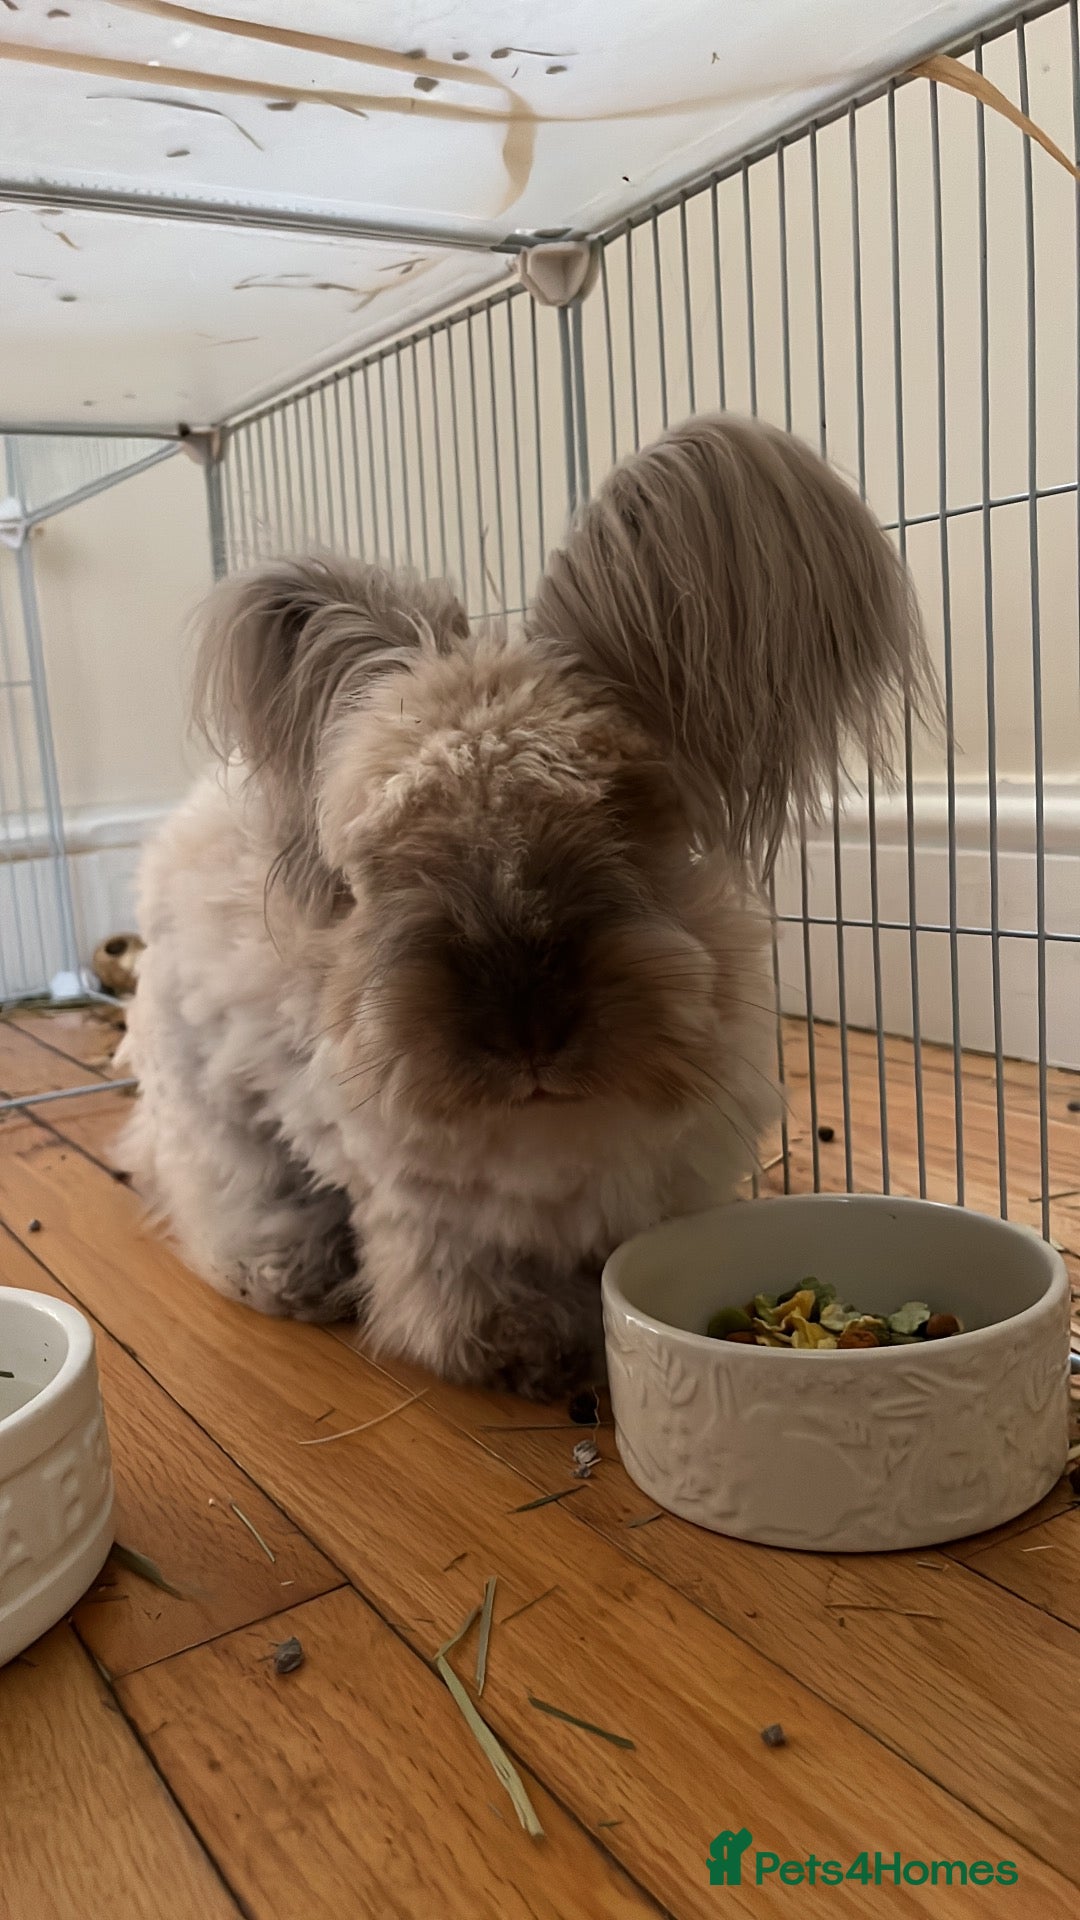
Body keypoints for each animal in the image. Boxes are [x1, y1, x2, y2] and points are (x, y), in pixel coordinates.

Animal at [119, 414, 933, 1400]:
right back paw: (289, 1274)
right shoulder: (430, 1211)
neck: (552, 1115)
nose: (527, 1031)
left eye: (624, 814)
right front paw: (533, 1347)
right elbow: (464, 1284)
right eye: (384, 865)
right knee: (221, 1186)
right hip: (212, 1096)